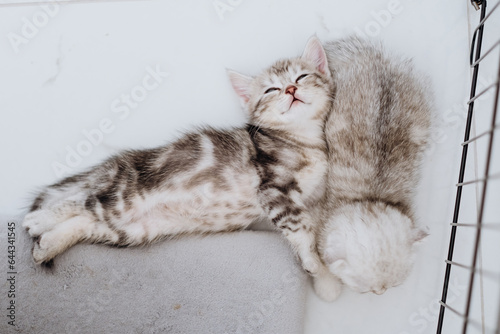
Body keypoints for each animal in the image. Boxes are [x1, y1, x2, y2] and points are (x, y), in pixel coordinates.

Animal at [24, 37, 336, 276]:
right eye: (271, 89)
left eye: (301, 77)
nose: (291, 90)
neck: (302, 139)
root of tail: (116, 164)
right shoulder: (273, 187)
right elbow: (299, 226)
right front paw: (314, 263)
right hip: (124, 195)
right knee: (82, 201)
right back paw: (38, 220)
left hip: (133, 230)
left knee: (88, 221)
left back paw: (47, 244)